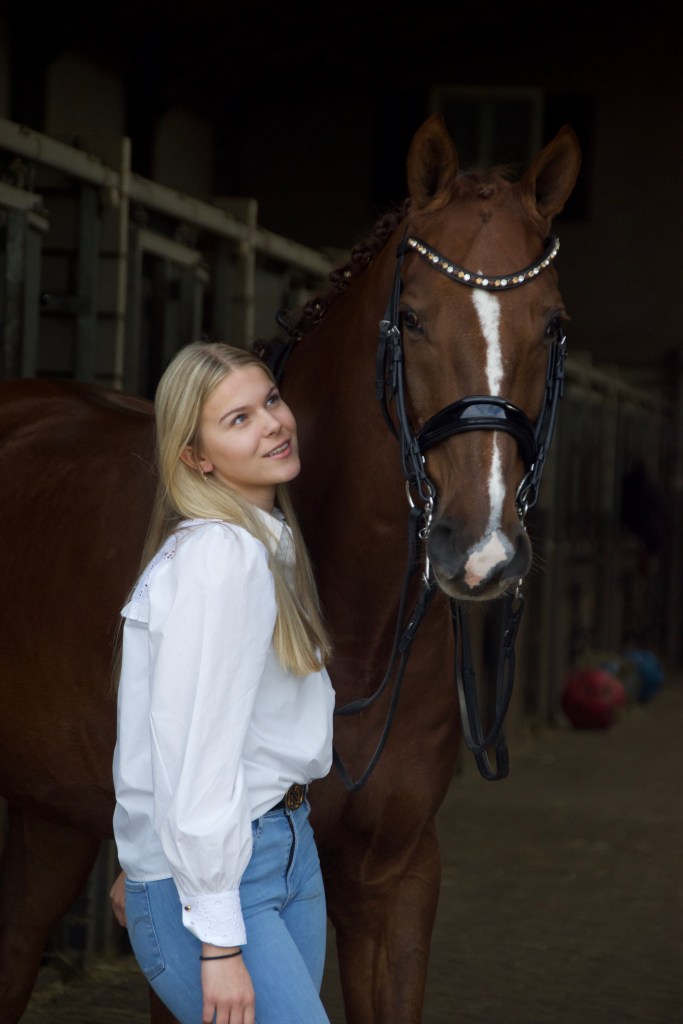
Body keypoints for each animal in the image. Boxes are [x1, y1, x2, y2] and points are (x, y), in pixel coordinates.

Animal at [0, 112, 580, 1024]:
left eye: (551, 323)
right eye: (411, 317)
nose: (479, 548)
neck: (356, 628)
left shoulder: (395, 878)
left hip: (48, 816)